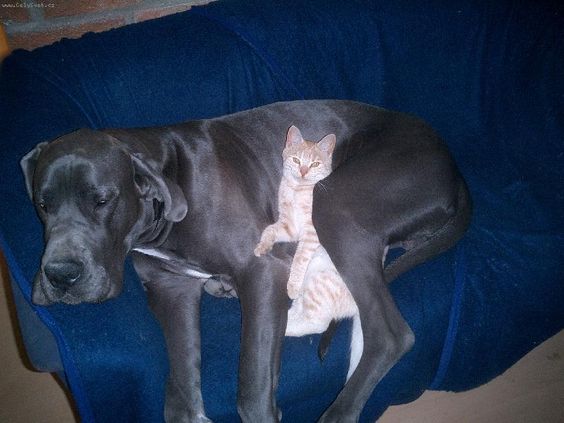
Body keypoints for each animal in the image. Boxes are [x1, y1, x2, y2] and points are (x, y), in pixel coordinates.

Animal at [254, 126, 362, 380]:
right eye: (296, 160)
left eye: (314, 164)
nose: (303, 172)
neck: (296, 190)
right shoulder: (287, 227)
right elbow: (269, 230)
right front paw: (262, 246)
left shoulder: (309, 235)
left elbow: (299, 259)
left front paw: (292, 282)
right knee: (299, 313)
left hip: (318, 285)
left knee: (316, 323)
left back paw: (284, 325)